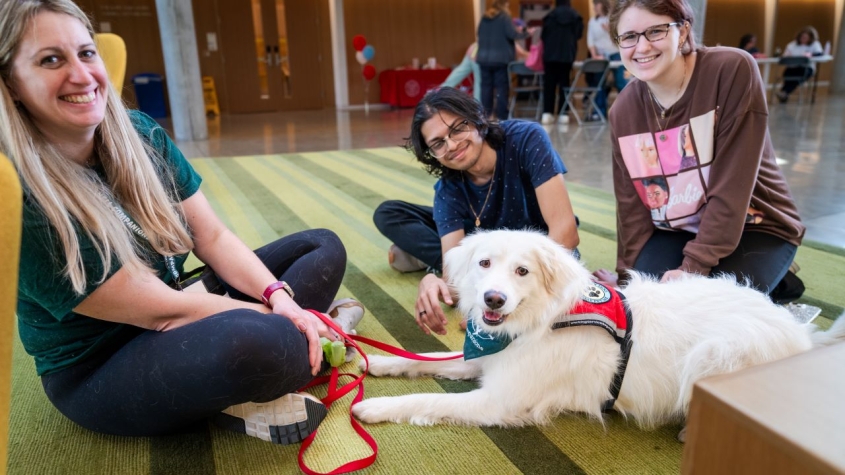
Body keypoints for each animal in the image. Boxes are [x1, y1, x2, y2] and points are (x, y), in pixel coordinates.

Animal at [352, 231, 844, 438]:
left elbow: (426, 400)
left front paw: (373, 407)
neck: (537, 323)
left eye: (523, 271)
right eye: (484, 263)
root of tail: (802, 336)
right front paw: (379, 361)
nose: (493, 299)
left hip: (715, 352)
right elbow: (427, 359)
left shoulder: (499, 400)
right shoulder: (488, 360)